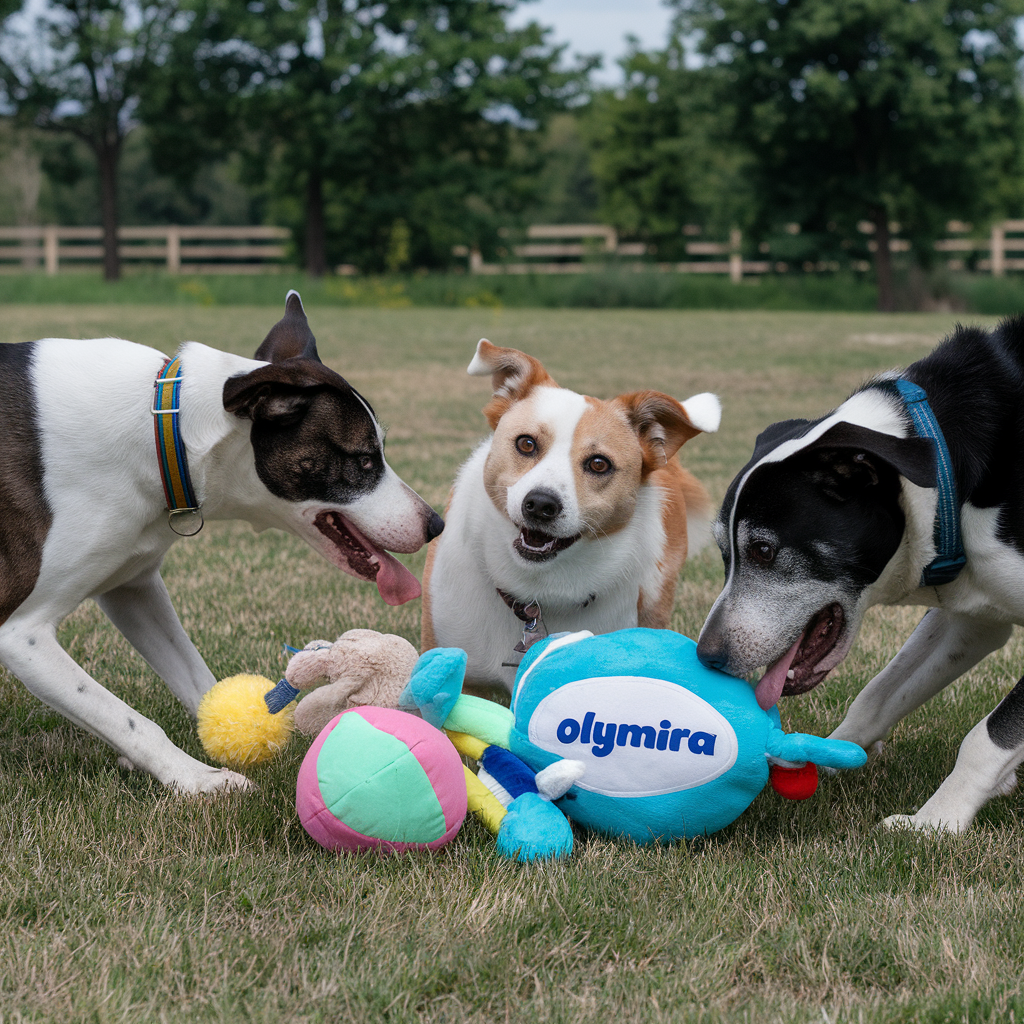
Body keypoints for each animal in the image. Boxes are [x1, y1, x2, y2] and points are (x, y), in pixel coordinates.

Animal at [0, 292, 440, 794]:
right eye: (365, 460)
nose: (437, 523)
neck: (163, 430)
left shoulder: (133, 587)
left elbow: (197, 679)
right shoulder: (23, 634)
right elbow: (127, 719)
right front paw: (198, 779)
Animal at [696, 317, 1024, 831]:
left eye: (764, 550)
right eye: (724, 554)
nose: (706, 655)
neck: (943, 464)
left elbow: (988, 738)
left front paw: (935, 824)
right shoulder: (972, 616)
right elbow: (878, 693)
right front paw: (826, 755)